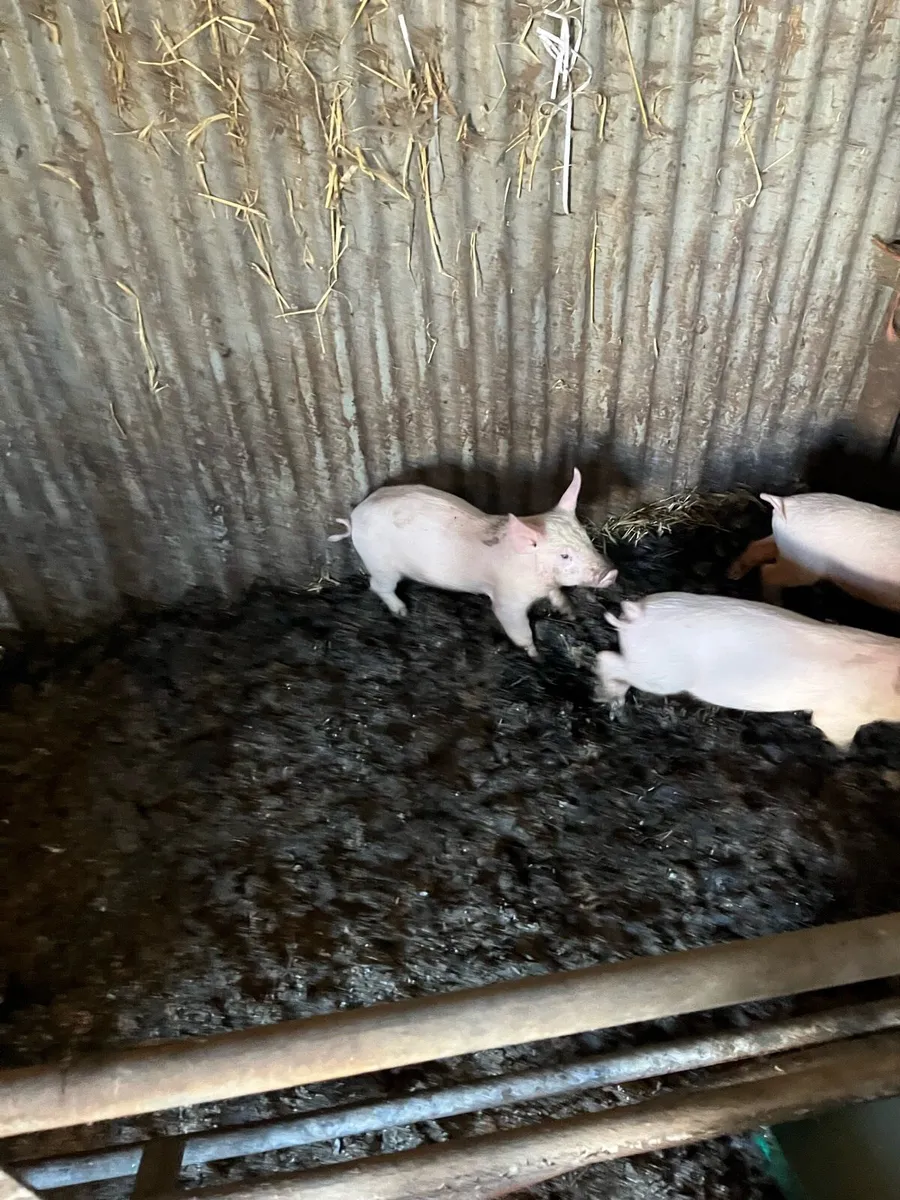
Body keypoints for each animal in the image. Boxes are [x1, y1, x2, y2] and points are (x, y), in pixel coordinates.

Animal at [329, 469, 617, 657]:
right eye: (564, 555)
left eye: (587, 539)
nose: (611, 572)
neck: (536, 579)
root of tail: (355, 516)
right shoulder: (506, 599)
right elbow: (516, 627)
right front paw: (535, 655)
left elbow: (558, 595)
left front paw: (571, 612)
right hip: (380, 564)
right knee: (378, 586)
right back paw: (402, 612)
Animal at [594, 591, 900, 749]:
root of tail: (637, 613)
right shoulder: (841, 712)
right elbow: (831, 729)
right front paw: (848, 751)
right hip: (660, 673)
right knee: (606, 657)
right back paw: (613, 704)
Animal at [728, 492, 900, 613]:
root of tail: (786, 503)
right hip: (804, 564)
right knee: (767, 571)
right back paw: (777, 604)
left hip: (784, 545)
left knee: (757, 546)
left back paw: (732, 573)